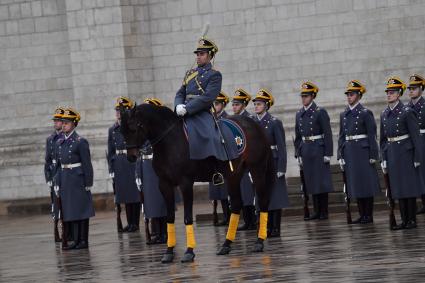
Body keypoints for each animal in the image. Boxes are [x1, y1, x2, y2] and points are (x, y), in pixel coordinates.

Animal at [118, 103, 274, 264]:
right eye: (122, 131)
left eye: (134, 128)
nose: (131, 157)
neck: (170, 142)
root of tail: (254, 123)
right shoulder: (164, 184)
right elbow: (169, 217)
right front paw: (169, 252)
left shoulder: (185, 183)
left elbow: (187, 217)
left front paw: (189, 251)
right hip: (234, 175)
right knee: (236, 205)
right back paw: (226, 245)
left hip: (257, 169)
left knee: (262, 201)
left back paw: (259, 242)